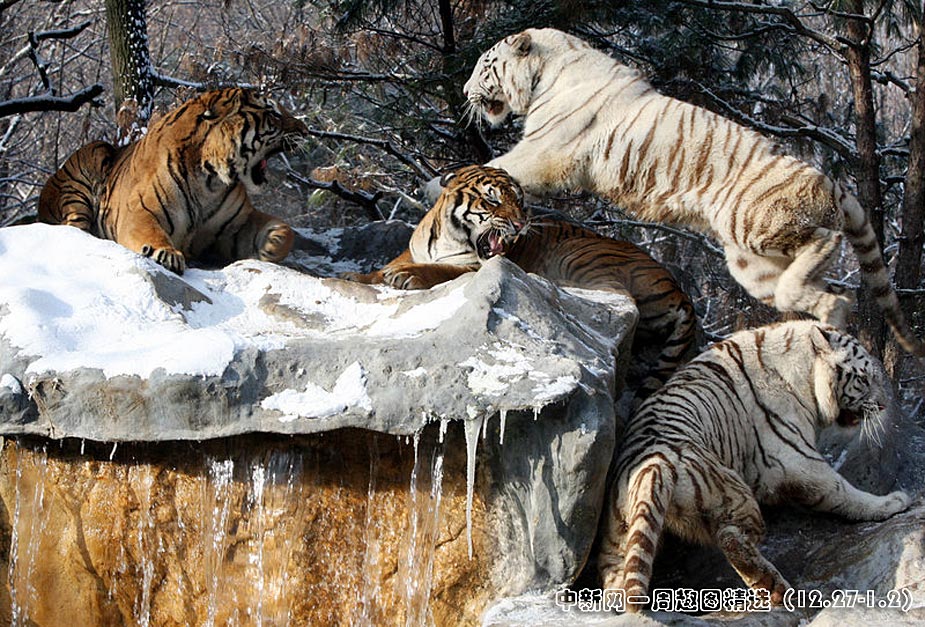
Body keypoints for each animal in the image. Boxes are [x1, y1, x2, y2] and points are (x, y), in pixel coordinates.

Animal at [40, 88, 306, 274]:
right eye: (273, 113)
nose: (305, 129)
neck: (211, 181)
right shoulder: (140, 212)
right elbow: (150, 232)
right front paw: (165, 253)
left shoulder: (238, 222)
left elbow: (286, 231)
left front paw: (270, 247)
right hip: (90, 161)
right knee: (74, 227)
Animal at [345, 164, 698, 401]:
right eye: (492, 200)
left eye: (519, 201)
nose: (520, 223)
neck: (446, 237)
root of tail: (681, 291)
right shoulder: (411, 251)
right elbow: (384, 267)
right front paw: (357, 276)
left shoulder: (470, 266)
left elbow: (440, 271)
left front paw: (408, 276)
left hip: (581, 254)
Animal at [462, 27, 925, 356]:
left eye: (484, 66)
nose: (465, 92)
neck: (545, 75)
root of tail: (829, 179)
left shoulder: (547, 150)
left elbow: (502, 166)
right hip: (750, 263)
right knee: (825, 292)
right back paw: (828, 315)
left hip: (759, 222)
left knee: (827, 240)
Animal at [598, 320, 912, 612]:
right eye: (864, 379)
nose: (883, 405)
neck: (805, 374)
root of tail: (654, 466)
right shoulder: (797, 458)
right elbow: (842, 491)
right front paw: (891, 503)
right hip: (734, 494)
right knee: (732, 539)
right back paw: (778, 590)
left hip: (620, 534)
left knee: (617, 574)